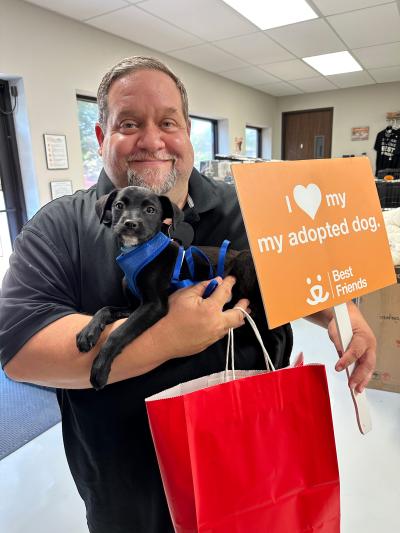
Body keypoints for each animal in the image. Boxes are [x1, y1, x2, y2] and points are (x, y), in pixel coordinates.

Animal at [76, 185, 260, 388]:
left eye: (151, 210)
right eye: (119, 205)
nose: (130, 223)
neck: (140, 252)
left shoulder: (153, 306)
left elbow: (119, 333)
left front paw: (100, 369)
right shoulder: (133, 307)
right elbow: (106, 309)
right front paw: (88, 332)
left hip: (245, 260)